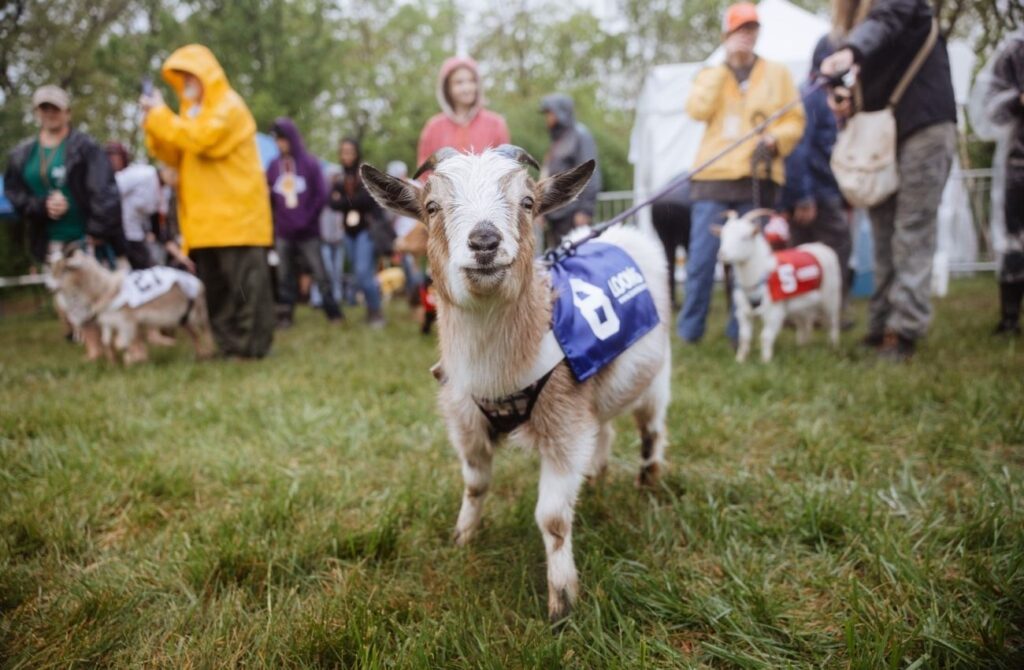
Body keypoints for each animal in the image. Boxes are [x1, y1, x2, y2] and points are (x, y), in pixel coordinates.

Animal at [361, 146, 671, 623]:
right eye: (431, 207)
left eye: (528, 203)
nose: (485, 241)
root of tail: (623, 233)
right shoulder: (466, 421)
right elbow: (475, 485)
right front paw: (463, 539)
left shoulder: (563, 423)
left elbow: (552, 518)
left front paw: (562, 601)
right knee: (604, 429)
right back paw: (596, 478)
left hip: (656, 377)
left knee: (651, 431)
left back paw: (647, 484)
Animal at [716, 209, 842, 363]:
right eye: (723, 235)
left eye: (745, 237)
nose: (722, 254)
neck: (759, 275)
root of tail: (821, 246)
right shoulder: (743, 312)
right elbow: (744, 337)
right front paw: (740, 359)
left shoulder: (774, 312)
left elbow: (765, 336)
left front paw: (765, 361)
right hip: (801, 306)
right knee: (804, 323)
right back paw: (802, 346)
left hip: (831, 297)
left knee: (832, 322)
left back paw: (833, 346)